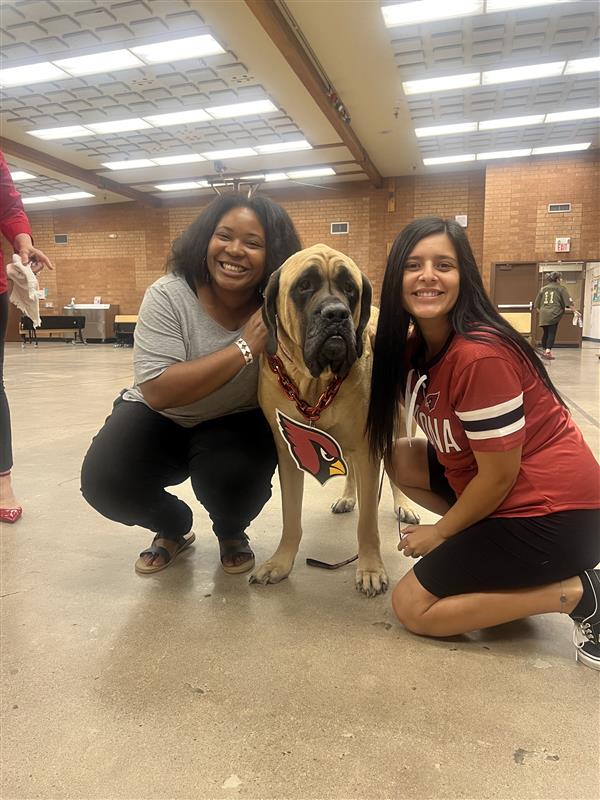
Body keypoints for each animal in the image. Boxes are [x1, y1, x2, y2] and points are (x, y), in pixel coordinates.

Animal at [248, 244, 390, 592]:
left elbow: (368, 522)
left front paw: (370, 568)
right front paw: (280, 563)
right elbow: (290, 515)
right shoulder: (287, 454)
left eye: (350, 288)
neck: (316, 383)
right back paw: (348, 497)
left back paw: (404, 507)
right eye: (304, 285)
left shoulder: (368, 447)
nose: (336, 314)